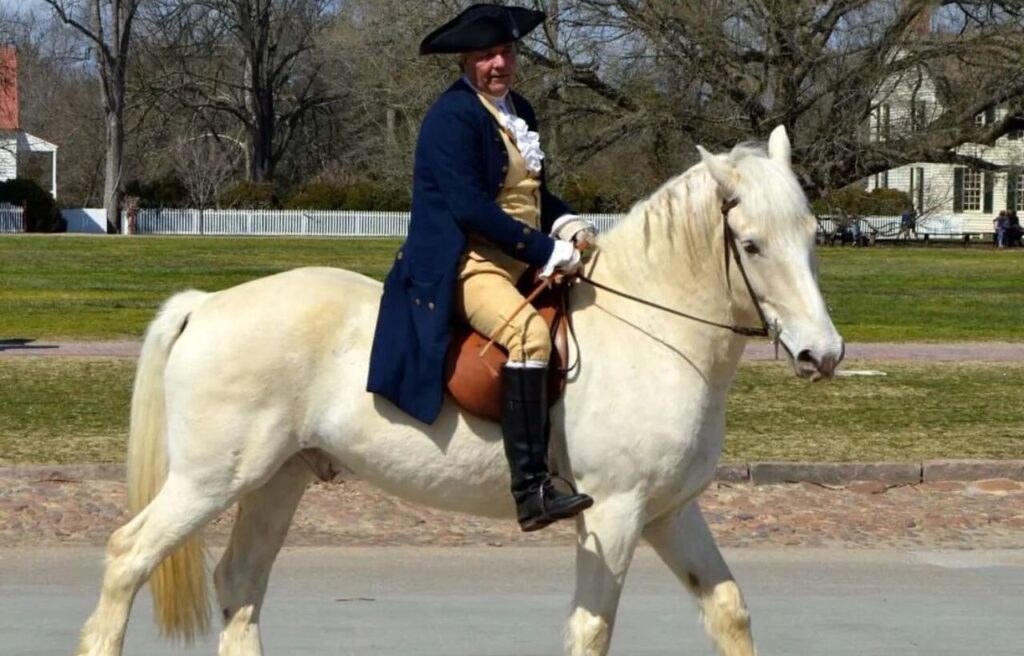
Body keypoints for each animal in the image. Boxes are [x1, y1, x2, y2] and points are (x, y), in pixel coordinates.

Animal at [78, 125, 843, 656]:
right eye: (751, 245)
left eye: (811, 234)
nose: (824, 353)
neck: (652, 327)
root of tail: (206, 304)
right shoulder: (615, 514)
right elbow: (592, 630)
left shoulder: (669, 513)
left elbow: (728, 609)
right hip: (210, 481)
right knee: (127, 558)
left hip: (275, 480)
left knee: (239, 584)